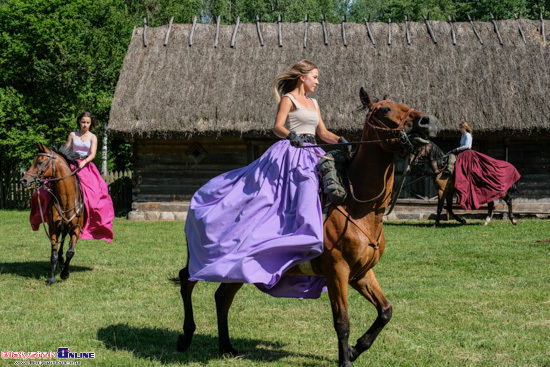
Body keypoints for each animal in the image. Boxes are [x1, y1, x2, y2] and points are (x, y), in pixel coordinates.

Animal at [20, 143, 84, 284]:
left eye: (39, 162)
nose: (23, 180)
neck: (66, 200)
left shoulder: (76, 229)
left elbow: (70, 252)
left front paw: (65, 273)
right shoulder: (53, 228)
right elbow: (53, 255)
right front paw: (52, 278)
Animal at [172, 87, 440, 366]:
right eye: (385, 110)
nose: (429, 121)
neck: (358, 207)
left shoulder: (361, 272)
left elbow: (385, 311)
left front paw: (355, 350)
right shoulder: (337, 271)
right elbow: (342, 321)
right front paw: (345, 359)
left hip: (237, 269)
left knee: (222, 297)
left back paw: (226, 346)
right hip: (207, 260)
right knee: (187, 280)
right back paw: (186, 337)